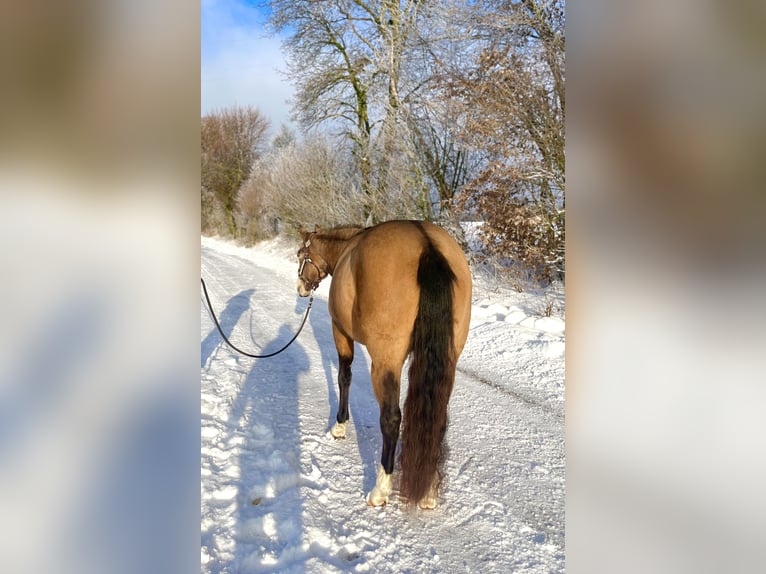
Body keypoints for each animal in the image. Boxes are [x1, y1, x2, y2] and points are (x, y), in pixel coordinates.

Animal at [295, 220, 472, 509]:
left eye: (301, 255)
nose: (301, 288)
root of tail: (427, 245)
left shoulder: (340, 332)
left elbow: (344, 377)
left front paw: (340, 426)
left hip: (385, 361)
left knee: (391, 418)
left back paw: (381, 489)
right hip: (448, 359)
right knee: (439, 417)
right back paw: (428, 492)